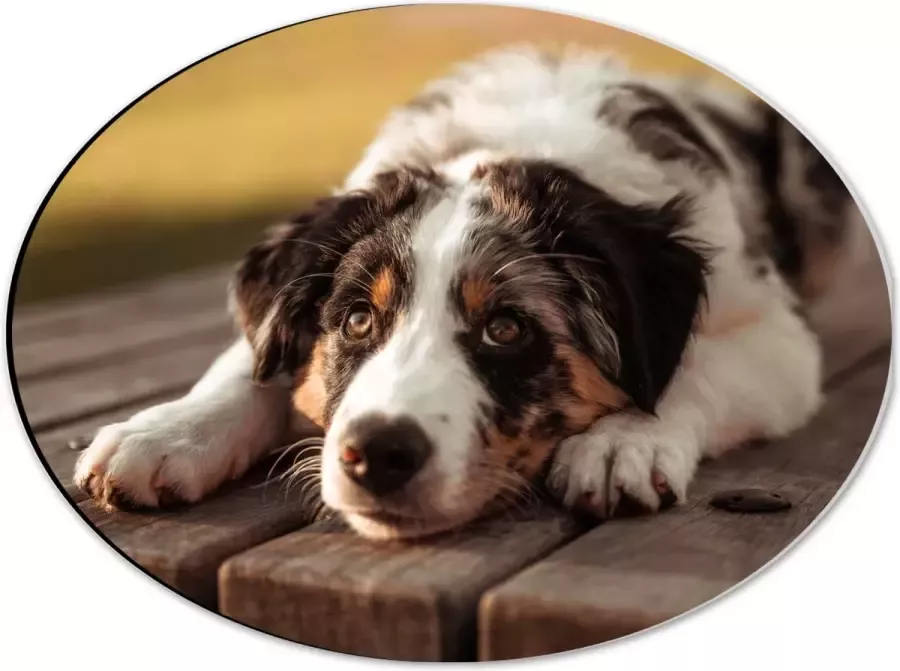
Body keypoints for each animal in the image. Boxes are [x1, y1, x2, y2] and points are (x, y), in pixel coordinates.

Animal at [70, 46, 856, 540]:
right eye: (357, 320)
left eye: (506, 328)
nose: (376, 455)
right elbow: (251, 362)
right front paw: (165, 433)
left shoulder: (778, 337)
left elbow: (696, 367)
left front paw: (623, 439)